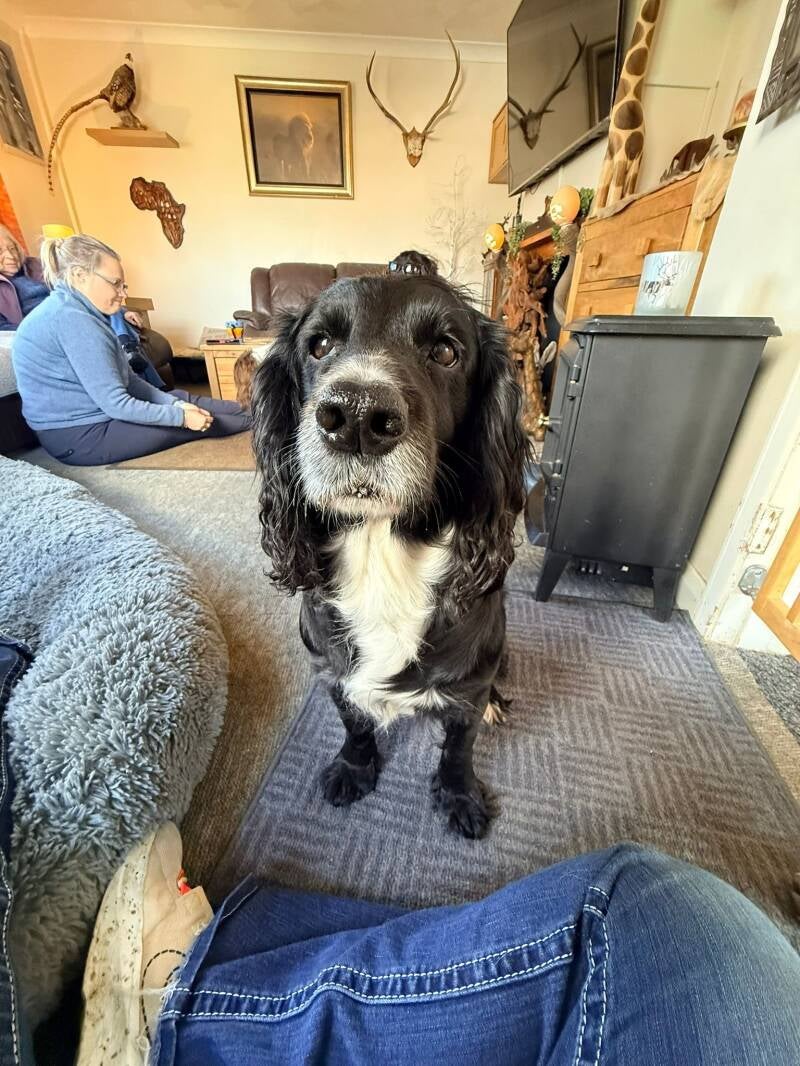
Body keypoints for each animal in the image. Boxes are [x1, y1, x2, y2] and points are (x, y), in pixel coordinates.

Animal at [251, 273, 527, 838]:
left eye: (445, 351)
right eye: (320, 345)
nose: (356, 416)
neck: (383, 556)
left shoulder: (468, 687)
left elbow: (459, 749)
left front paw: (461, 797)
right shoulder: (333, 670)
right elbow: (354, 724)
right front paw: (353, 769)